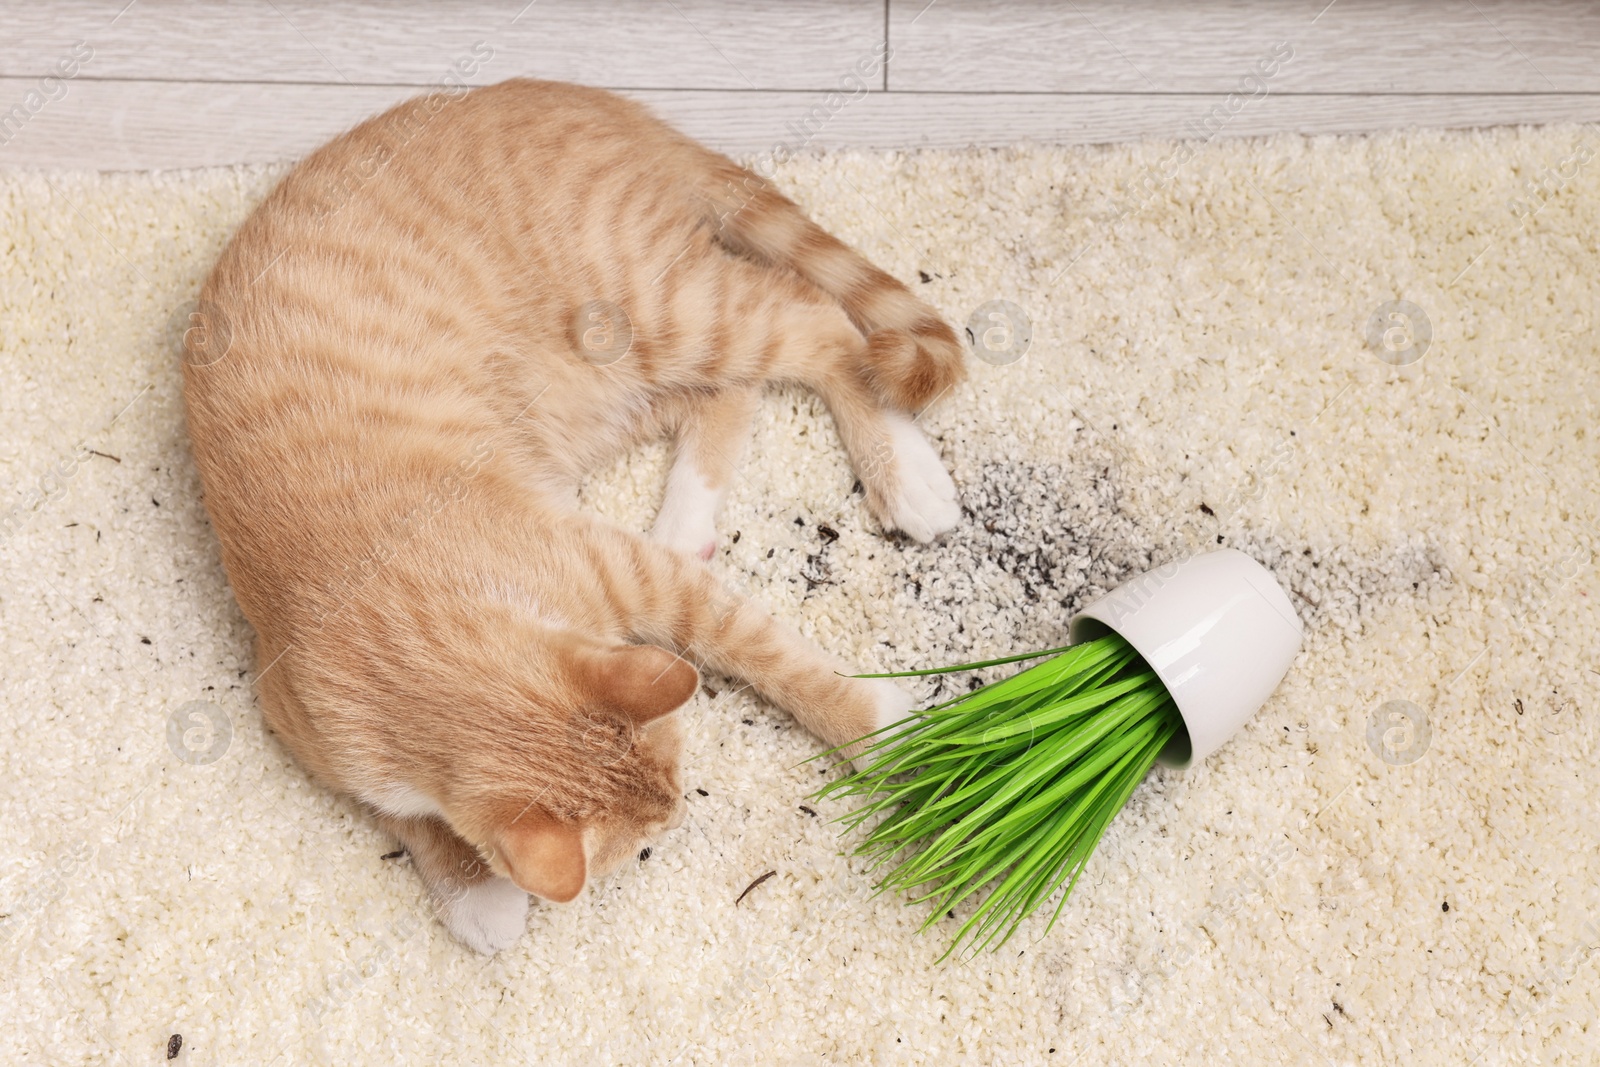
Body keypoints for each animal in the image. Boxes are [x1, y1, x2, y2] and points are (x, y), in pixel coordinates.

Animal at [187, 79, 960, 953]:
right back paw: (690, 520)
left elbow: (765, 650)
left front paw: (878, 726)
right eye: (656, 821)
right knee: (732, 389)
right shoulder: (304, 724)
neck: (397, 610)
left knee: (820, 324)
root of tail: (585, 95)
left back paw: (904, 471)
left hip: (655, 310)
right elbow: (403, 813)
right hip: (591, 394)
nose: (679, 809)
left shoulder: (628, 571)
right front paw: (473, 893)